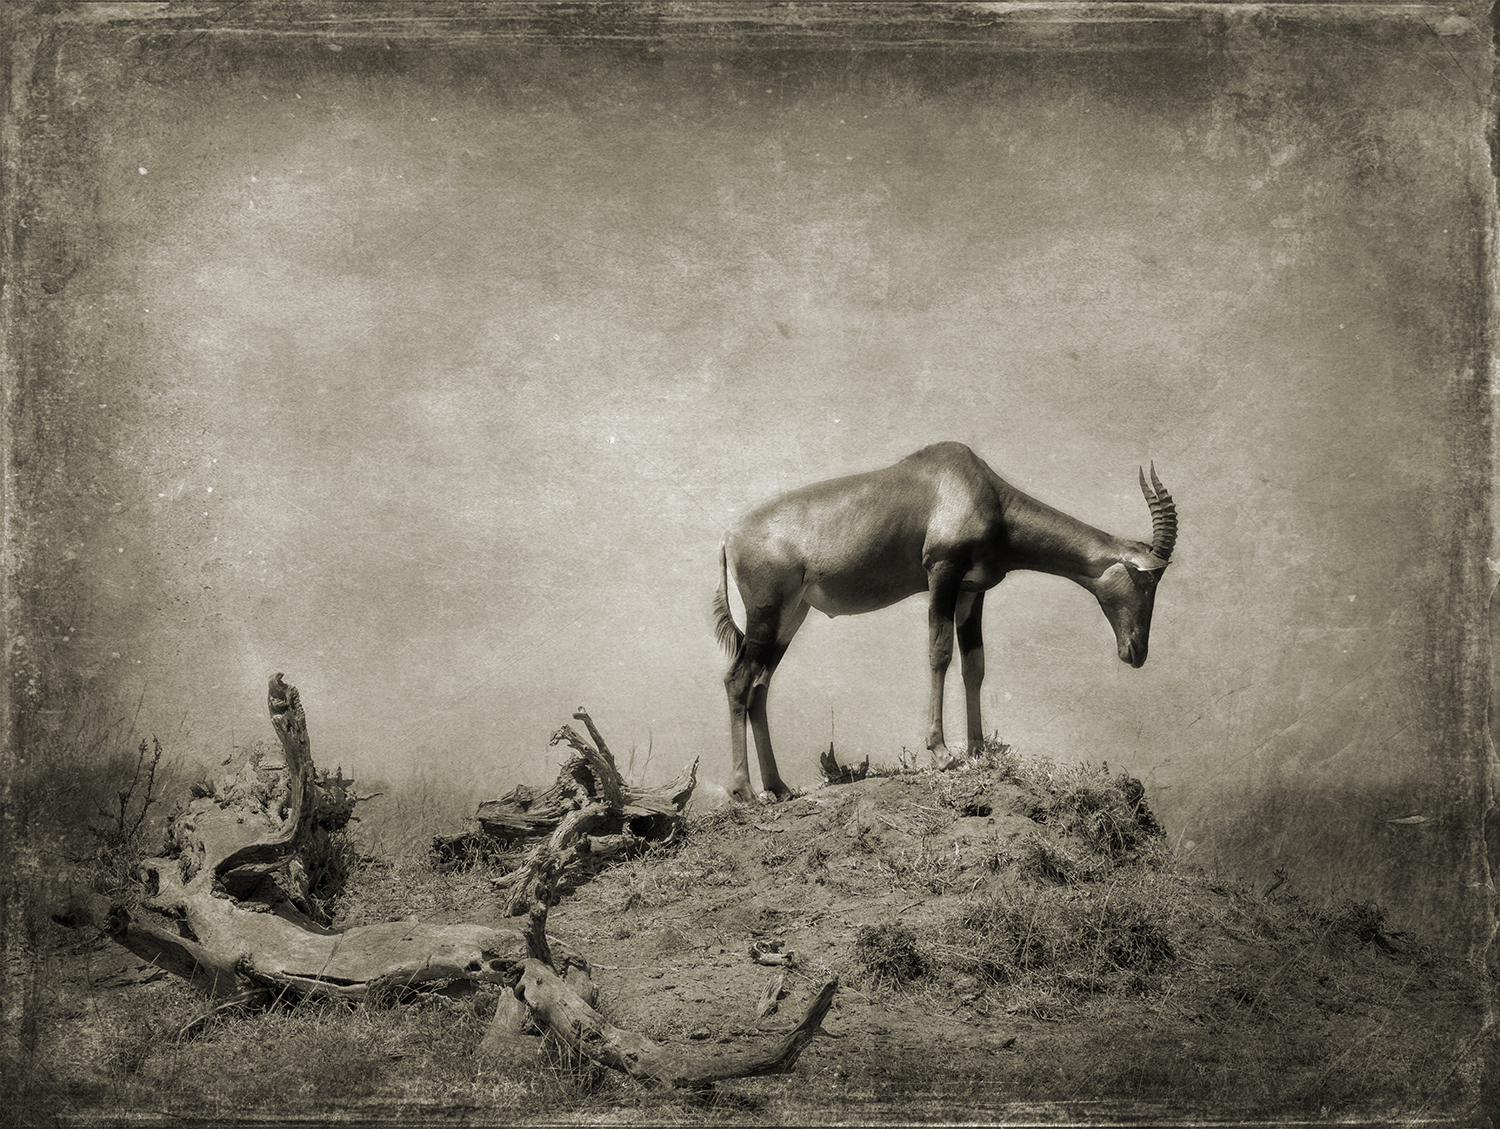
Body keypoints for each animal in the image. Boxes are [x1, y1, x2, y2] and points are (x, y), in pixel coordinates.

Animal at [708, 440, 1176, 803]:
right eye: (1145, 579)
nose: (1136, 652)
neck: (976, 488)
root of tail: (729, 537)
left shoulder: (972, 590)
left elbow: (974, 665)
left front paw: (978, 750)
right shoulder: (942, 573)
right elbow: (940, 653)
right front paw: (942, 753)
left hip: (791, 616)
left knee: (759, 686)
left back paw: (778, 788)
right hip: (768, 613)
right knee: (738, 680)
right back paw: (745, 793)